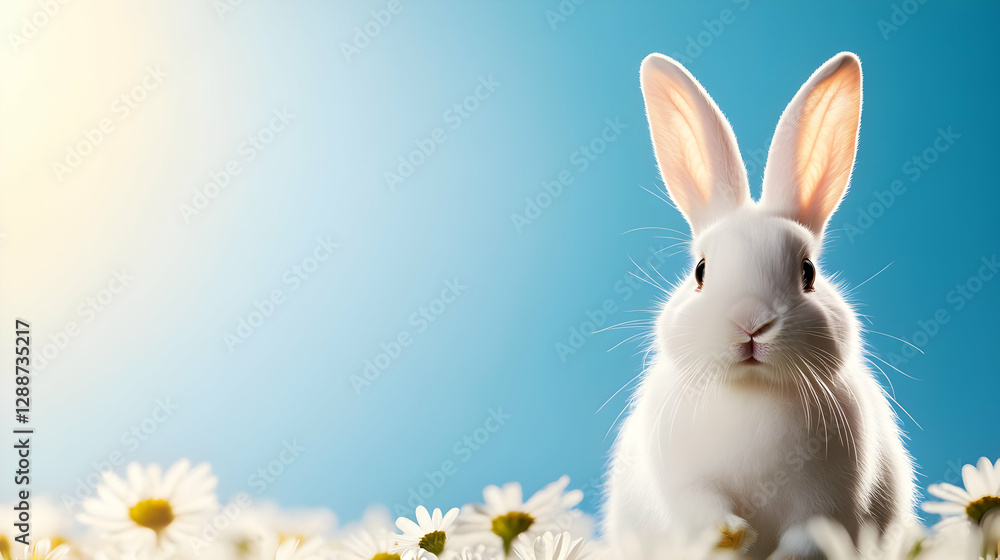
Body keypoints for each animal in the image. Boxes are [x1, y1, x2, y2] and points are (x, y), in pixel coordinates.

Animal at [601, 52, 916, 559]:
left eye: (808, 273)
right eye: (701, 272)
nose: (750, 323)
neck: (752, 390)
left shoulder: (830, 502)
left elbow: (809, 535)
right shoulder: (686, 486)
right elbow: (703, 512)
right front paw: (734, 535)